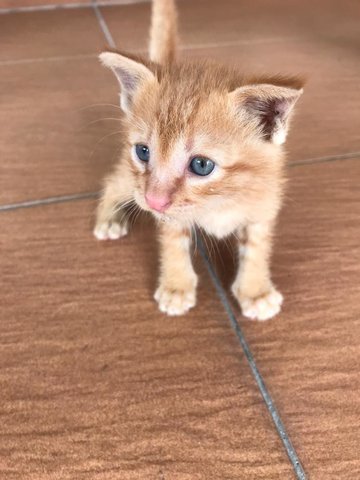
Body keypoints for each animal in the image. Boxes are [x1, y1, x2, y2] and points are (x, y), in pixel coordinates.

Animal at [93, 0, 304, 322]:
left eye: (201, 165)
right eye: (143, 151)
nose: (154, 201)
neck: (221, 200)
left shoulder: (264, 203)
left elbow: (257, 246)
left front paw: (255, 290)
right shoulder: (166, 212)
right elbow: (172, 241)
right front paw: (176, 286)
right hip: (132, 182)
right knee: (113, 181)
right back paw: (109, 218)